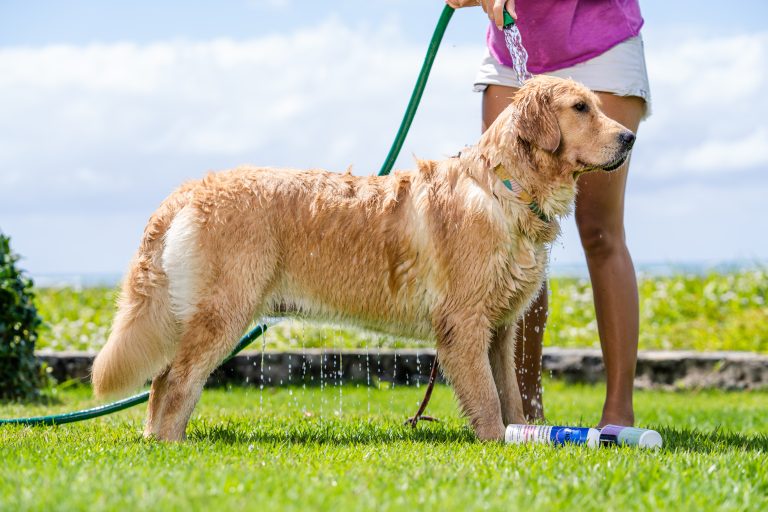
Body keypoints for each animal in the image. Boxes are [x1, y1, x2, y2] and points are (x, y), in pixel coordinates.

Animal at [91, 75, 636, 440]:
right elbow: (486, 401)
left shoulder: (501, 328)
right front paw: (495, 447)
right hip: (224, 312)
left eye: (598, 105)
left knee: (162, 381)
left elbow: (512, 398)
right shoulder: (465, 324)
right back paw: (171, 446)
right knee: (176, 381)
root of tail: (188, 189)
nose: (630, 137)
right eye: (580, 107)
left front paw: (523, 439)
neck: (507, 188)